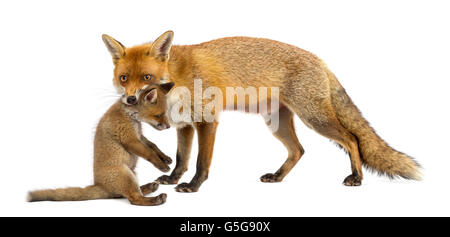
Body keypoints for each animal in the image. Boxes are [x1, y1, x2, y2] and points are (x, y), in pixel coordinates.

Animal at [102, 30, 422, 192]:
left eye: (147, 78)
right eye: (124, 78)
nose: (129, 100)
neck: (178, 78)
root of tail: (320, 60)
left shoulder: (207, 120)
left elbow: (201, 162)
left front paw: (192, 187)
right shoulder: (185, 125)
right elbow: (182, 159)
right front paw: (171, 180)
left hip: (314, 118)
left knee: (352, 139)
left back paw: (356, 177)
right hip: (276, 122)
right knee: (298, 150)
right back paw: (278, 177)